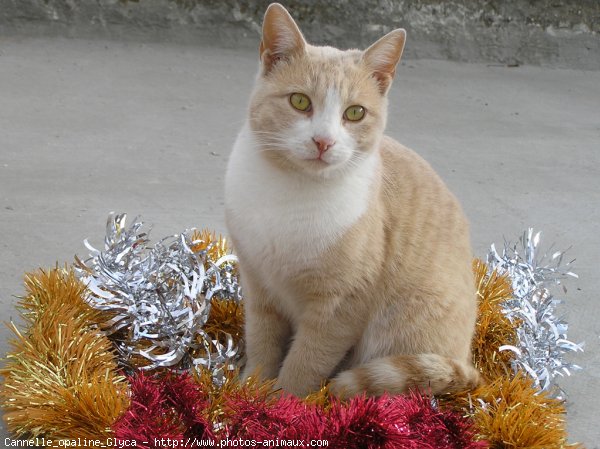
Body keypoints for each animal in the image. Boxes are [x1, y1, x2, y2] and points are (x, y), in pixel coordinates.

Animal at [223, 2, 480, 396]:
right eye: (300, 102)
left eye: (354, 113)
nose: (323, 141)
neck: (291, 193)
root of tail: (467, 361)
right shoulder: (258, 287)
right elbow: (262, 344)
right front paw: (249, 391)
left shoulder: (339, 309)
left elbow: (304, 364)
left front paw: (281, 403)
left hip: (403, 322)